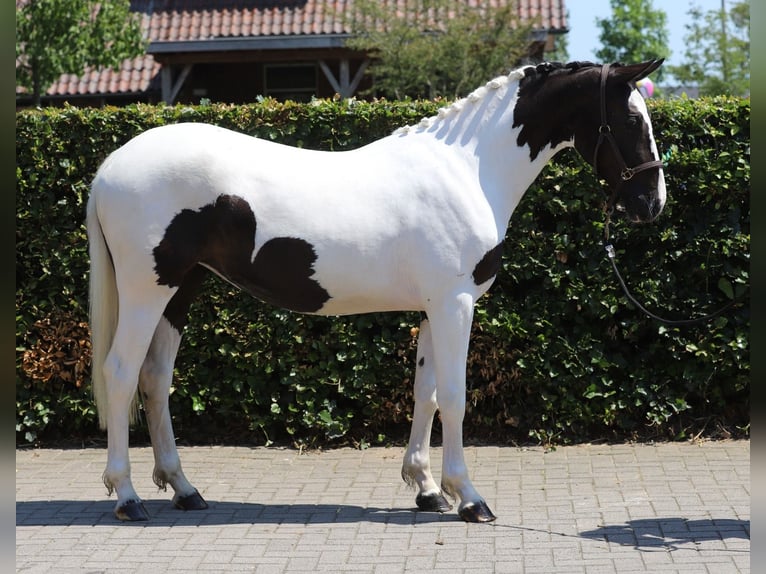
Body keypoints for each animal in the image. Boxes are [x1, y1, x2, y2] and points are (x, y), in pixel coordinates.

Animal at [87, 60, 666, 523]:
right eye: (632, 120)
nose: (652, 203)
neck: (469, 169)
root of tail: (110, 167)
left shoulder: (435, 307)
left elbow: (425, 392)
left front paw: (427, 489)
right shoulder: (454, 305)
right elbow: (454, 397)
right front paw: (469, 497)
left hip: (181, 289)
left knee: (155, 378)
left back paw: (184, 489)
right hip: (146, 290)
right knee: (121, 373)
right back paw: (127, 495)